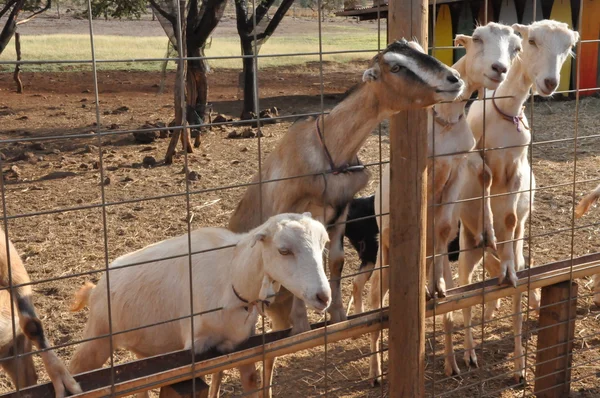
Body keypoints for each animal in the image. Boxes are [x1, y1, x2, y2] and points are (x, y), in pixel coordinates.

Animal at [70, 211, 332, 394]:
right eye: (283, 251)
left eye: (323, 244)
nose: (323, 296)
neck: (232, 278)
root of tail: (95, 289)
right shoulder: (195, 348)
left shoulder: (240, 343)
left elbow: (250, 381)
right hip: (97, 336)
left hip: (144, 348)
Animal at [366, 22, 520, 382]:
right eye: (476, 39)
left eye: (516, 47)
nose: (499, 69)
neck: (445, 123)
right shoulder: (423, 169)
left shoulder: (458, 169)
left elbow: (445, 226)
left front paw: (435, 286)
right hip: (384, 249)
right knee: (374, 298)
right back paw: (377, 370)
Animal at [460, 20, 580, 380]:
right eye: (532, 41)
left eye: (568, 47)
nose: (550, 83)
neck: (505, 113)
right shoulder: (479, 156)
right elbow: (484, 180)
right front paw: (488, 227)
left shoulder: (516, 170)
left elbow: (511, 219)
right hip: (464, 246)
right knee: (465, 291)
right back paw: (469, 352)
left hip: (521, 250)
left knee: (510, 284)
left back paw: (518, 361)